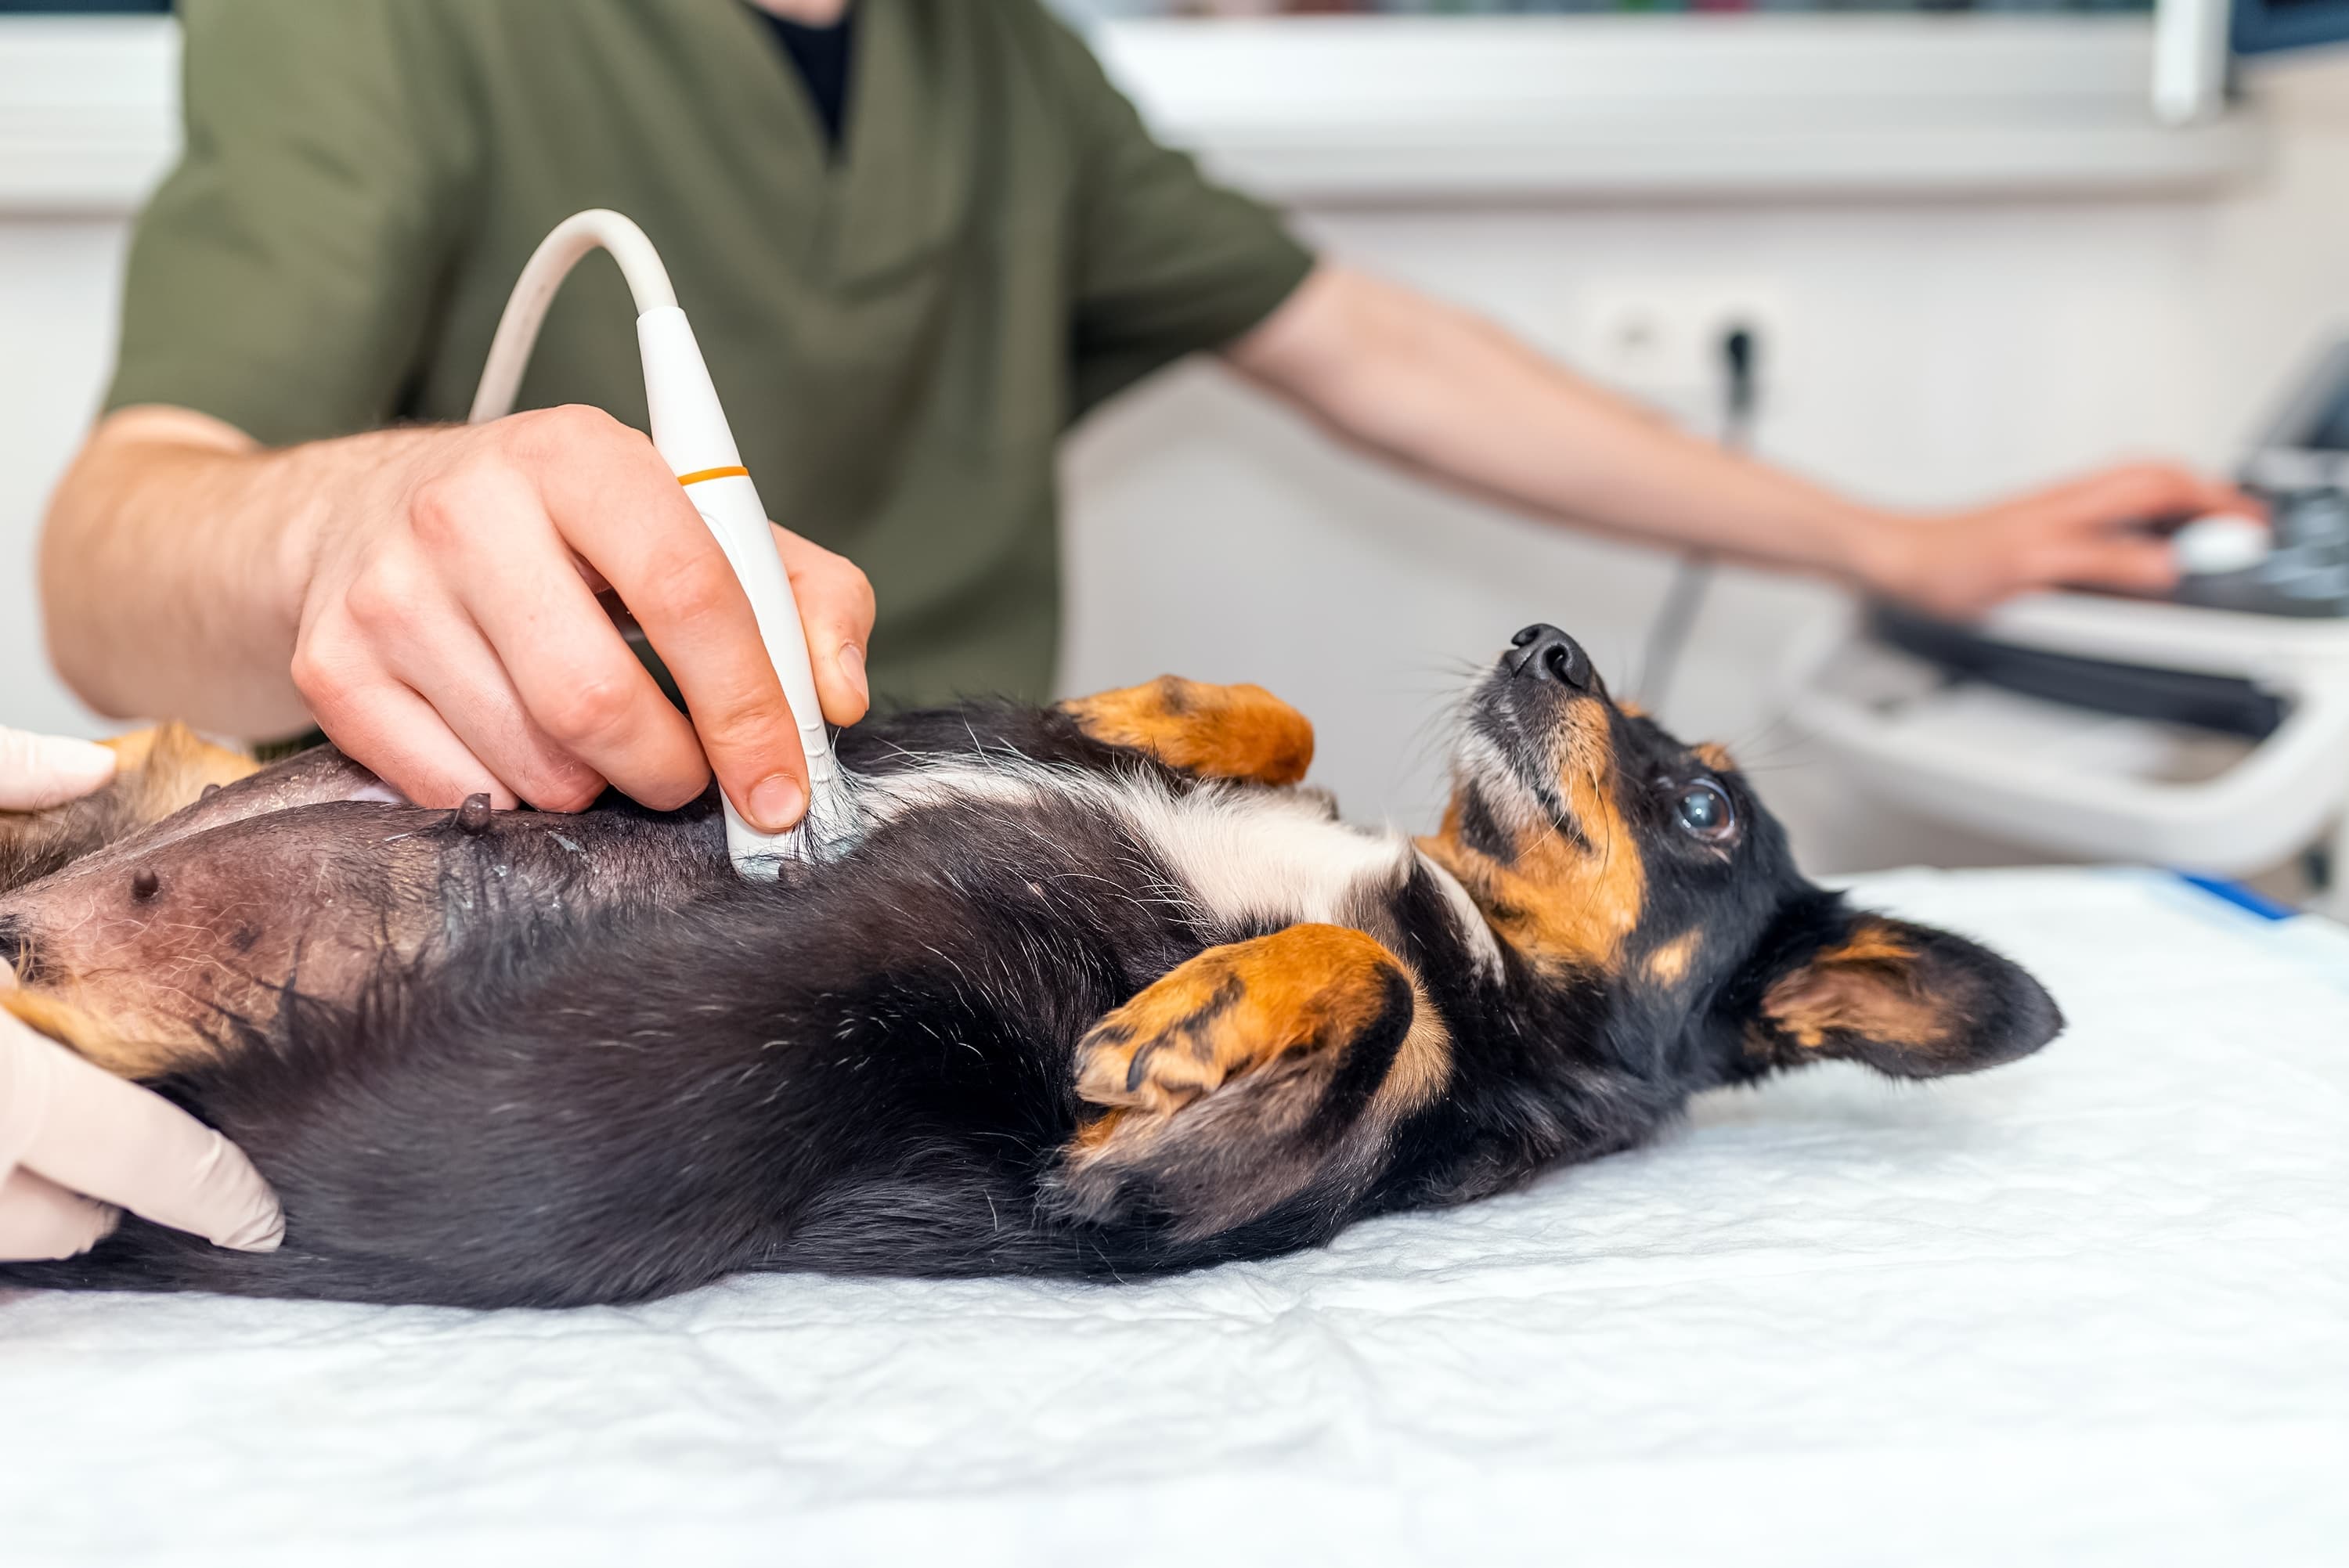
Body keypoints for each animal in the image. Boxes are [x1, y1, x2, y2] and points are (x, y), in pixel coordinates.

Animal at [0, 619, 2058, 1305]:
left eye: (1701, 802)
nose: (1545, 640)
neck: (1467, 918)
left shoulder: (1119, 1200)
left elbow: (1372, 997)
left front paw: (1189, 1015)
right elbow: (1267, 721)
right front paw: (1166, 712)